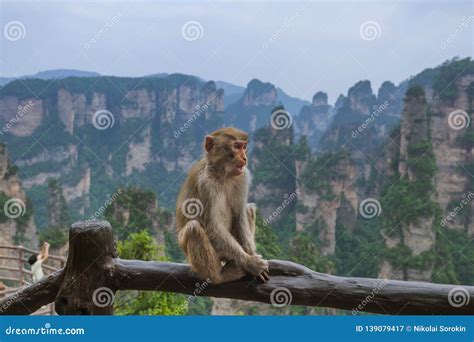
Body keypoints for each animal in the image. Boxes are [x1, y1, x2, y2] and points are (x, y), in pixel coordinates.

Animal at [176, 127, 270, 284]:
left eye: (244, 147)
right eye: (236, 147)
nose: (244, 157)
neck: (222, 173)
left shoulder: (242, 176)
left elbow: (239, 215)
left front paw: (251, 257)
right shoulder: (205, 184)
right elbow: (212, 226)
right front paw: (250, 263)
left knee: (248, 208)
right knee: (193, 228)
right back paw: (219, 277)